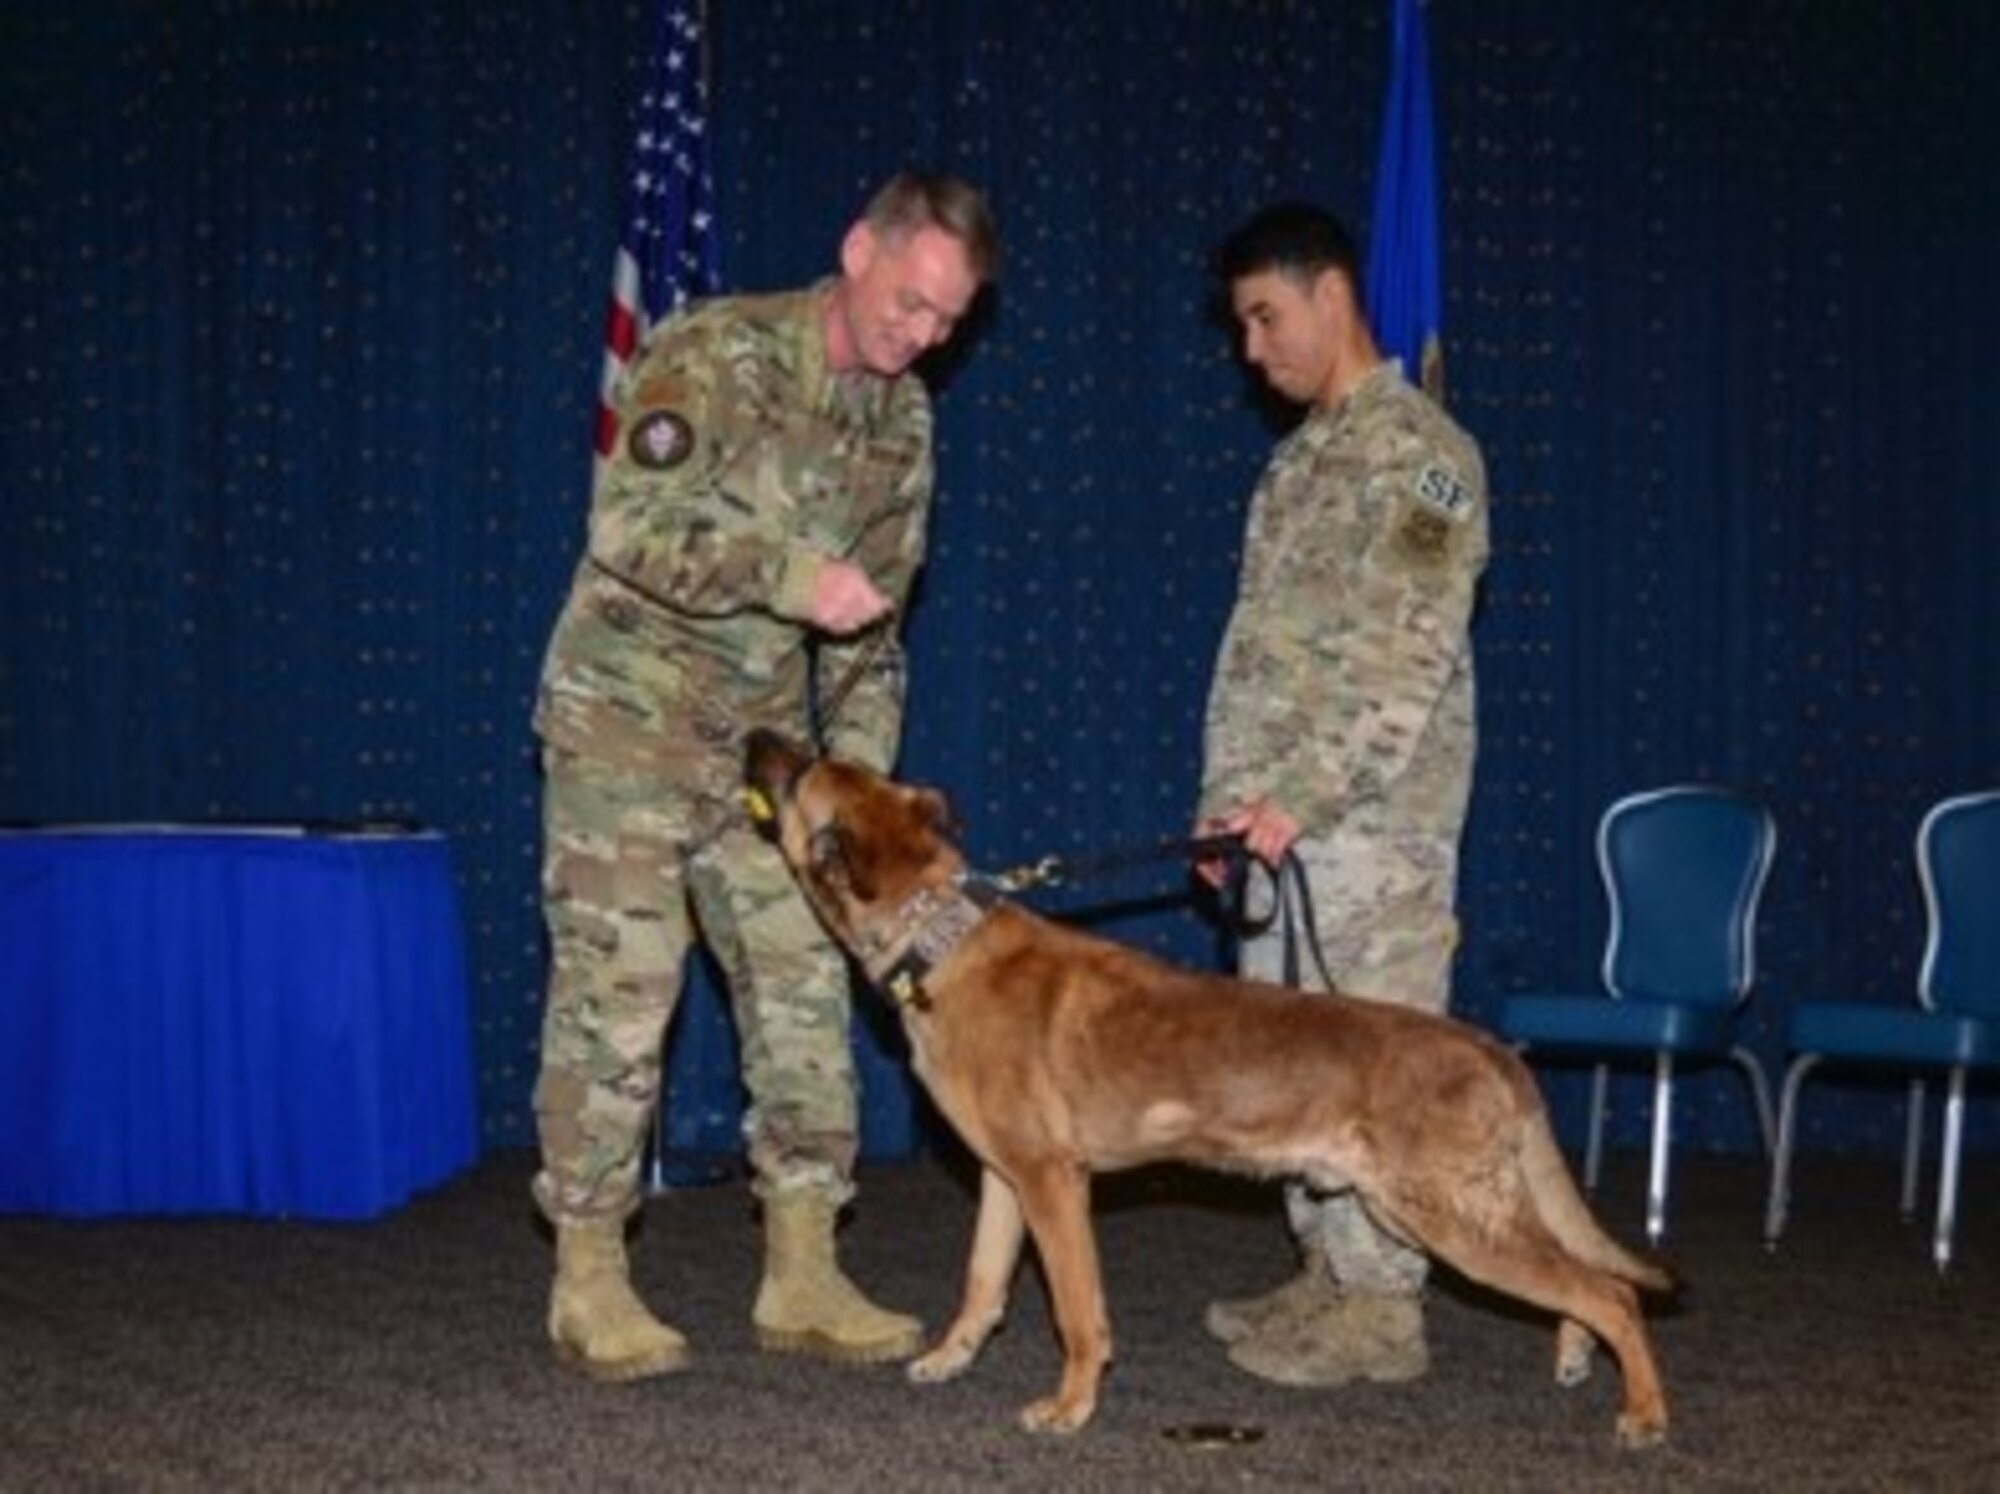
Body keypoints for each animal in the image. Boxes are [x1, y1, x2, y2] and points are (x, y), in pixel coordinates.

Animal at [744, 736, 1680, 1448]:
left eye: (804, 768)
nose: (758, 736)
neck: (942, 942)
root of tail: (1488, 1047)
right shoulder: (1007, 1182)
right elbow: (981, 1283)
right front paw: (952, 1357)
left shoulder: (1055, 1185)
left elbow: (1079, 1314)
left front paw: (1071, 1406)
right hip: (1426, 1210)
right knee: (1580, 1282)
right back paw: (1574, 1356)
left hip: (1449, 1218)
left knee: (1609, 1291)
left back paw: (1642, 1411)